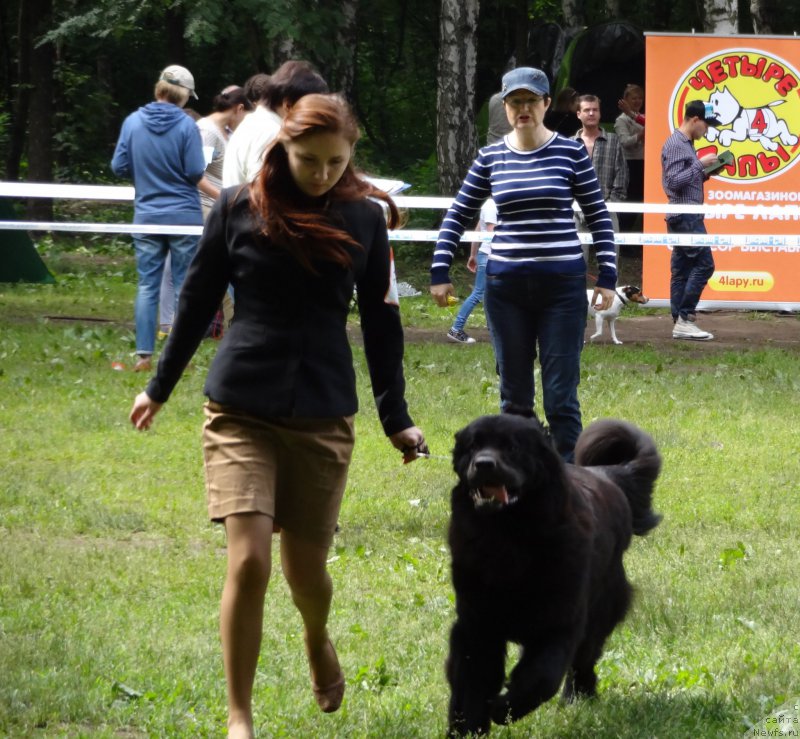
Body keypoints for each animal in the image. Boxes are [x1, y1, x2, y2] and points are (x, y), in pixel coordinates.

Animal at [444, 414, 664, 736]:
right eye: (472, 446)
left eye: (512, 447)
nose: (483, 464)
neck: (508, 540)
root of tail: (606, 475)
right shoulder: (477, 624)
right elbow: (471, 682)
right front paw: (468, 729)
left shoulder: (560, 621)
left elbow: (542, 677)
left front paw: (505, 708)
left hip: (600, 612)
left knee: (583, 661)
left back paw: (578, 698)